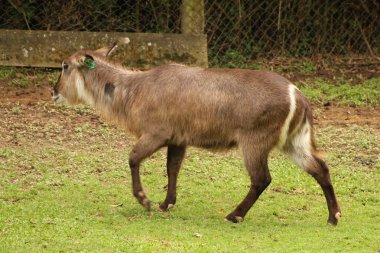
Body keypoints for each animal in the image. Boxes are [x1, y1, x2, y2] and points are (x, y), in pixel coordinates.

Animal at [51, 44, 342, 224]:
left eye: (64, 66)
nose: (53, 91)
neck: (134, 90)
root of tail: (298, 95)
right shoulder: (178, 139)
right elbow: (172, 169)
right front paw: (166, 204)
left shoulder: (156, 133)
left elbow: (133, 158)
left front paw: (145, 200)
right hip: (294, 142)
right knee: (321, 168)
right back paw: (333, 217)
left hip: (254, 142)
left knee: (262, 179)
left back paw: (234, 215)